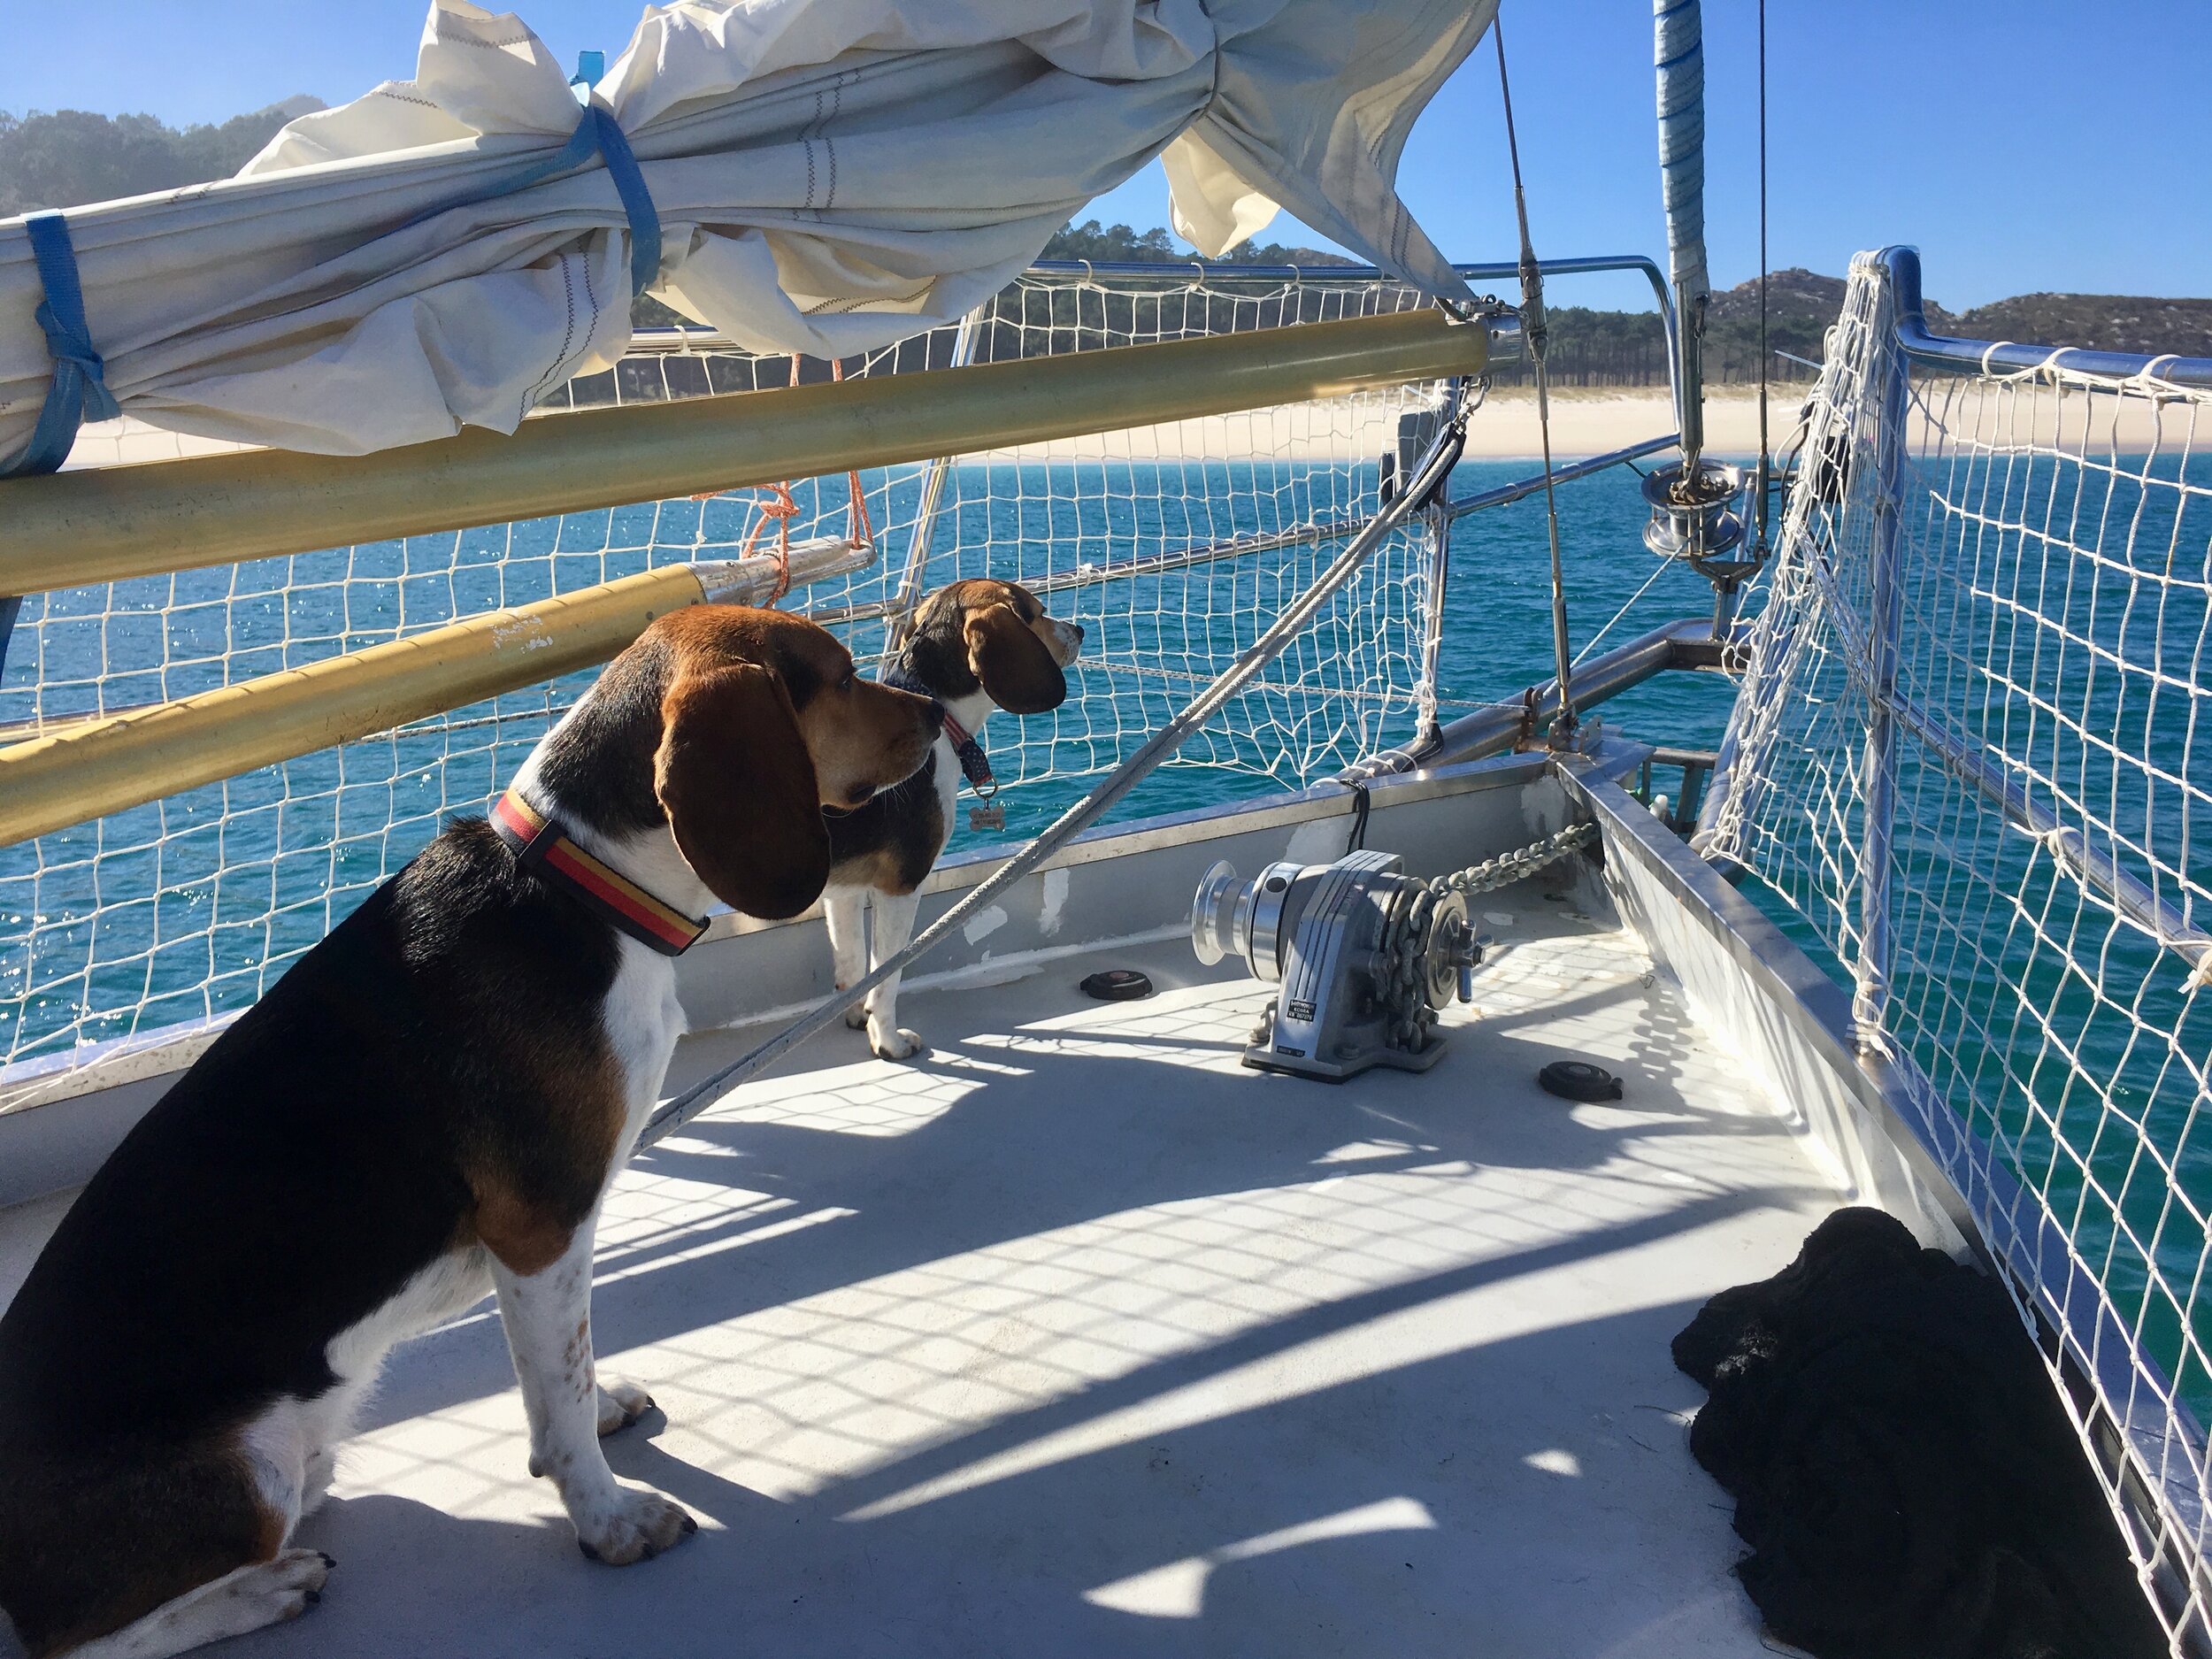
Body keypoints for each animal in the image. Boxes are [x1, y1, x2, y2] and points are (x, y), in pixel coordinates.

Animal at [0, 611, 938, 1659]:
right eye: (841, 677)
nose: (935, 714)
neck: (587, 887)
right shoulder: (541, 1227)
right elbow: (558, 1397)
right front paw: (610, 1520)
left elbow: (570, 1366)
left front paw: (605, 1413)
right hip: (254, 1472)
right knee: (87, 1641)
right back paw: (266, 1590)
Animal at [823, 580, 1079, 1057]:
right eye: (1037, 613)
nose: (1080, 630)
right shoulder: (901, 885)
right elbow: (886, 976)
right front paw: (887, 1040)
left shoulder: (842, 889)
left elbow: (852, 960)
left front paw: (854, 1016)